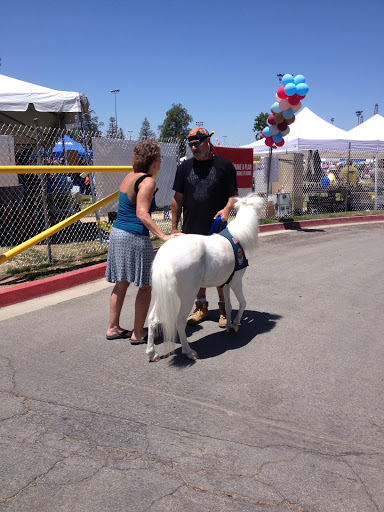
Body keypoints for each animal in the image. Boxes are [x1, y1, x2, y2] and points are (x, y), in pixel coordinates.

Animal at [145, 194, 264, 362]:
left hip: (161, 294)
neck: (238, 237)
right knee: (180, 322)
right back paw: (189, 352)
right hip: (187, 296)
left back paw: (152, 353)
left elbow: (228, 306)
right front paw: (235, 325)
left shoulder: (225, 284)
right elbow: (242, 303)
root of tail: (166, 255)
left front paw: (228, 326)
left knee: (153, 319)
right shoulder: (236, 281)